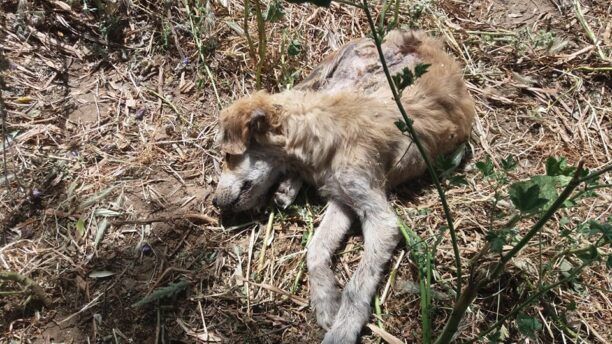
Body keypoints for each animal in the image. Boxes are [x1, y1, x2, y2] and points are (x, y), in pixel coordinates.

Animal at [213, 30, 476, 344]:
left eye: (228, 156)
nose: (214, 203)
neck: (323, 130)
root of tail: (417, 36)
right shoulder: (342, 199)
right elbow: (315, 248)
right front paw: (326, 300)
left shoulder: (375, 214)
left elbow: (356, 284)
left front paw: (342, 329)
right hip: (349, 78)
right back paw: (287, 188)